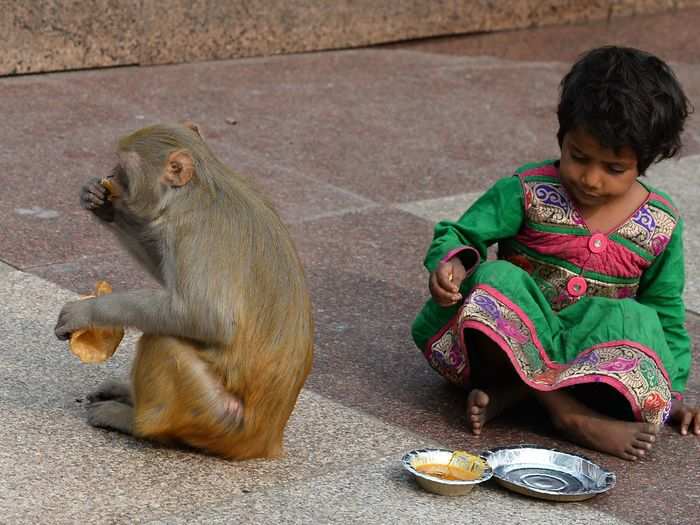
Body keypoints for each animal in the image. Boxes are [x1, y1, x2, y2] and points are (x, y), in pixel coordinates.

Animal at [54, 123, 314, 458]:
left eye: (123, 167)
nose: (110, 173)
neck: (196, 192)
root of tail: (265, 440)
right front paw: (103, 205)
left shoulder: (194, 232)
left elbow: (202, 315)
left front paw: (86, 312)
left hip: (219, 420)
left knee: (163, 340)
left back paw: (131, 421)